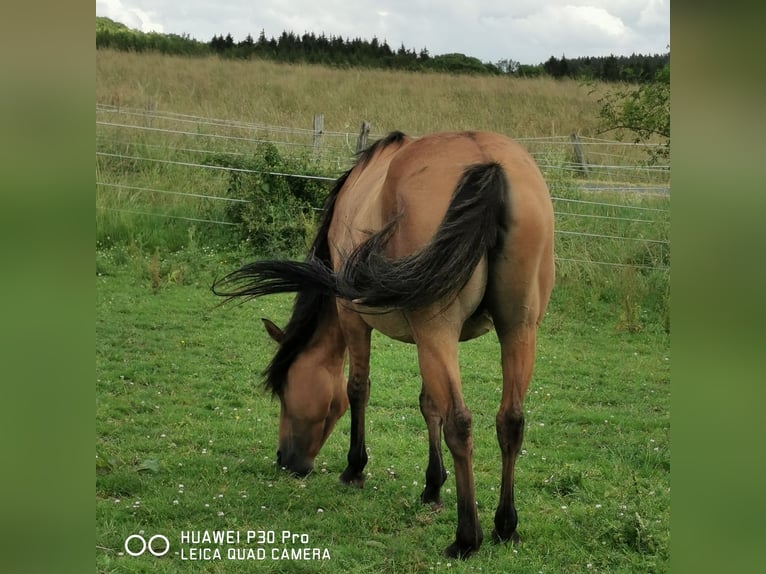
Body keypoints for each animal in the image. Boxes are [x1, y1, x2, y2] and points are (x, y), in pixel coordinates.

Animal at [212, 130, 554, 558]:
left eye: (284, 391)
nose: (284, 460)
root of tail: (487, 162)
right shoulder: (430, 341)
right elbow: (429, 405)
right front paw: (432, 486)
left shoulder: (353, 318)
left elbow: (358, 389)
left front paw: (354, 468)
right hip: (516, 329)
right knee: (510, 420)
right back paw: (506, 527)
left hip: (440, 329)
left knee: (460, 423)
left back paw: (466, 538)